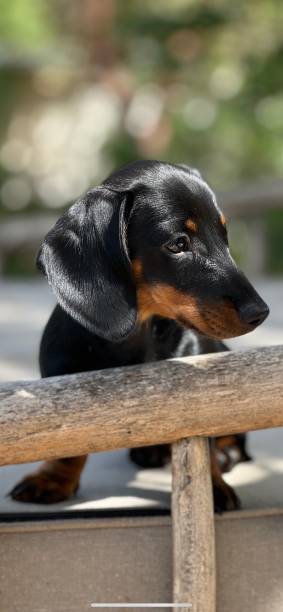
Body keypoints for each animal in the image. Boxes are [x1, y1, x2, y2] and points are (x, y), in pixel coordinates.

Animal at [10, 159, 270, 512]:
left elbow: (207, 433)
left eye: (224, 236)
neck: (138, 336)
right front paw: (52, 479)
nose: (260, 312)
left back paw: (225, 454)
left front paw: (212, 484)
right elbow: (65, 444)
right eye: (178, 244)